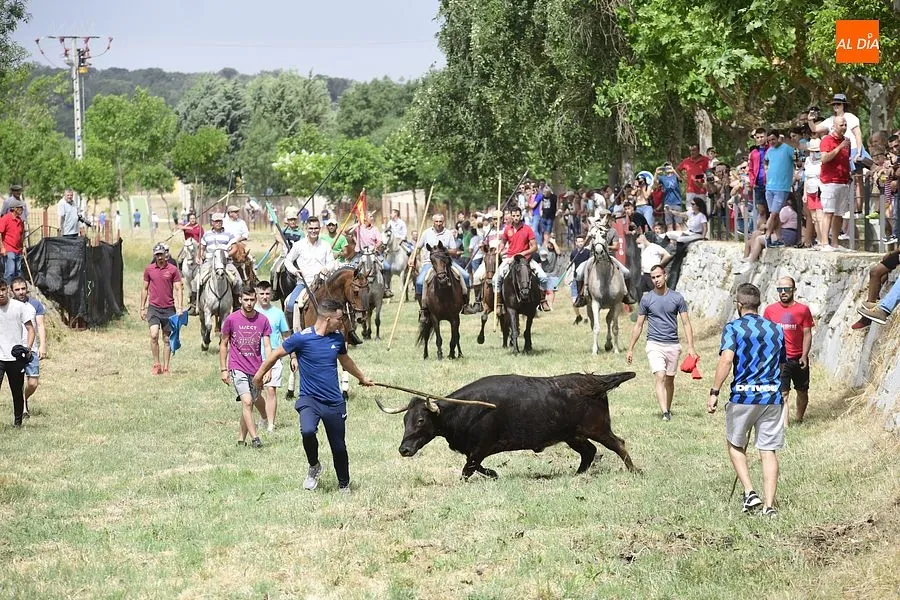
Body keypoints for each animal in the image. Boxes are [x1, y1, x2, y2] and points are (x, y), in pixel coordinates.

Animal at [585, 225, 626, 355]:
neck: (604, 276)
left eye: (603, 235)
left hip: (612, 307)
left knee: (608, 320)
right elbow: (596, 327)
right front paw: (594, 351)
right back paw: (599, 346)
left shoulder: (617, 304)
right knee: (593, 322)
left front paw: (616, 350)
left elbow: (615, 327)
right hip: (589, 307)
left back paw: (608, 344)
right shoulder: (595, 303)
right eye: (593, 236)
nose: (599, 252)